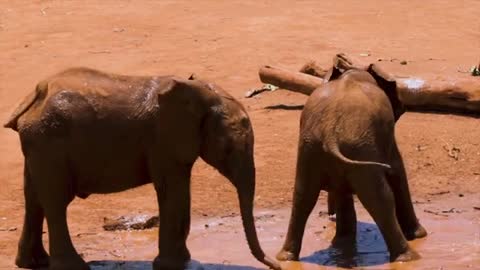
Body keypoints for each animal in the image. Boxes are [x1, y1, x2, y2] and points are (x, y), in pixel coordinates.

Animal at [4, 67, 282, 270]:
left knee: (34, 198)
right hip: (50, 142)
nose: (277, 265)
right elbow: (173, 191)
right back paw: (74, 267)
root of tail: (34, 97)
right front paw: (173, 266)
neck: (199, 92)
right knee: (56, 201)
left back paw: (33, 263)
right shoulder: (164, 141)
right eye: (228, 148)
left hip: (40, 145)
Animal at [276, 63, 430, 264]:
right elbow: (397, 172)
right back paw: (409, 258)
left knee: (303, 196)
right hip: (358, 147)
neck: (352, 72)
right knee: (379, 197)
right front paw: (420, 235)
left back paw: (287, 257)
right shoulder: (385, 137)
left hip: (313, 148)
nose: (330, 215)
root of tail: (330, 133)